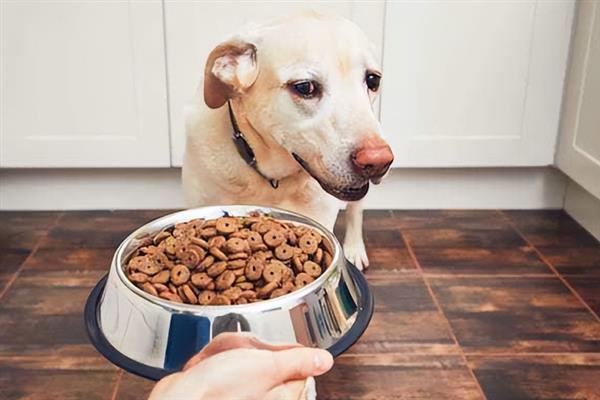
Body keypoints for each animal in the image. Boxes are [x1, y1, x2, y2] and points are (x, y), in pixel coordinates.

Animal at [182, 12, 394, 270]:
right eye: (305, 87)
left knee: (356, 210)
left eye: (373, 80)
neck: (270, 178)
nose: (378, 161)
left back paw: (354, 248)